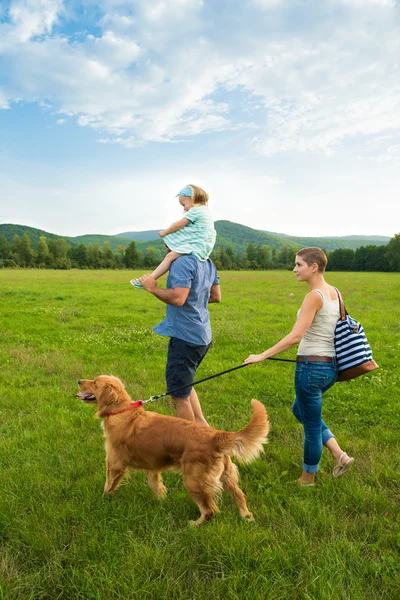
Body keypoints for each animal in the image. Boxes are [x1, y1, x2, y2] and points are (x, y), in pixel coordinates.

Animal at [77, 378, 268, 528]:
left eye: (94, 382)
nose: (79, 381)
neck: (122, 411)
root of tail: (215, 435)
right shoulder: (152, 467)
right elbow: (157, 487)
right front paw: (161, 501)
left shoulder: (114, 464)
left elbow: (108, 486)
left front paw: (102, 501)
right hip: (227, 477)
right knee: (240, 497)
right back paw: (246, 517)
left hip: (193, 481)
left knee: (209, 511)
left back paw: (193, 525)